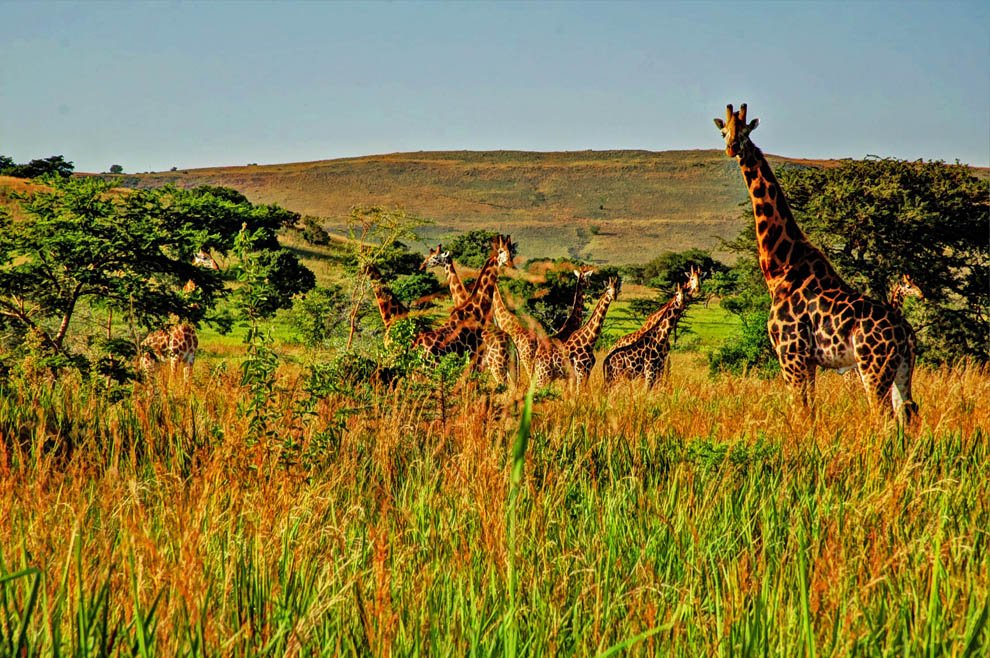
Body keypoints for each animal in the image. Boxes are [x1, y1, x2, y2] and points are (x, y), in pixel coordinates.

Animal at [714, 103, 918, 423]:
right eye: (724, 132)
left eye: (746, 131)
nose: (732, 148)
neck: (780, 267)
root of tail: (906, 332)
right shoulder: (807, 361)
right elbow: (810, 410)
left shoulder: (790, 354)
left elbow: (800, 410)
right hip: (902, 368)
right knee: (908, 411)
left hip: (873, 366)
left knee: (883, 415)